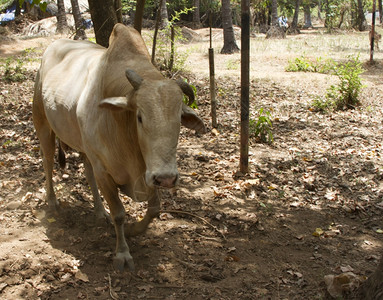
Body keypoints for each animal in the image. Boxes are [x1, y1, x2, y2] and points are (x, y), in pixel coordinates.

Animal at [33, 24, 207, 270]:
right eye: (140, 117)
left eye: (179, 119)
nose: (167, 178)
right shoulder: (105, 171)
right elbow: (119, 213)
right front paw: (122, 253)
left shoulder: (146, 173)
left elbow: (154, 209)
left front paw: (134, 229)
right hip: (42, 123)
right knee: (47, 161)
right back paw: (52, 201)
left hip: (86, 149)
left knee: (87, 172)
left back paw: (99, 211)